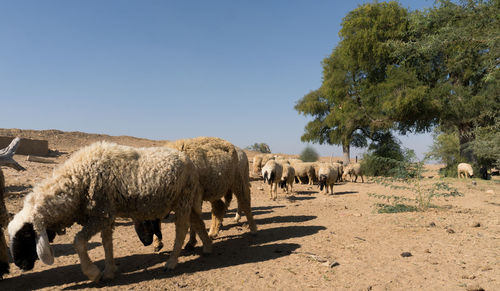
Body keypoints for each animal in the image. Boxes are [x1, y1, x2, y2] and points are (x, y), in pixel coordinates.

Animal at [7, 143, 212, 284]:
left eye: (27, 235)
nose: (19, 265)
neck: (76, 179)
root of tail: (189, 161)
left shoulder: (101, 214)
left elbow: (79, 241)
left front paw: (93, 273)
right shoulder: (105, 213)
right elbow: (107, 243)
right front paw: (109, 271)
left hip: (183, 199)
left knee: (182, 229)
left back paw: (171, 262)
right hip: (185, 199)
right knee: (198, 222)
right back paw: (207, 247)